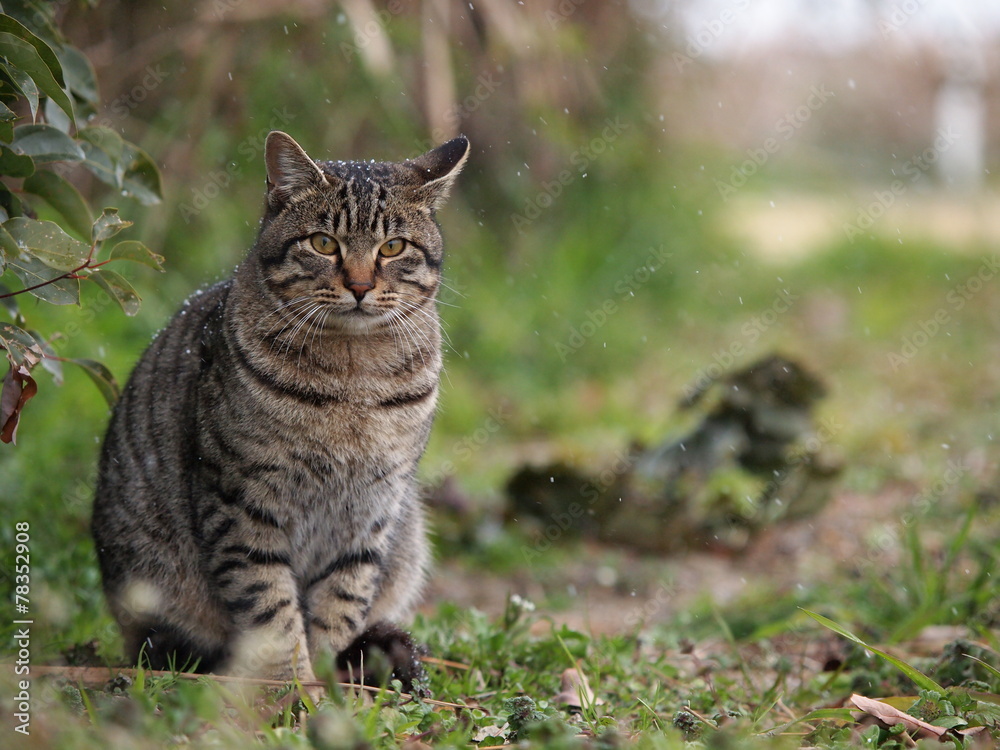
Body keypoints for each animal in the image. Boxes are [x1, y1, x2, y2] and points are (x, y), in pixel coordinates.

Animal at [94, 131, 468, 688]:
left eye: (393, 247)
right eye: (324, 243)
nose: (360, 286)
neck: (353, 377)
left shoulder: (371, 511)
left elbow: (339, 604)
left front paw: (332, 688)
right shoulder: (241, 503)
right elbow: (271, 611)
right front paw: (294, 691)